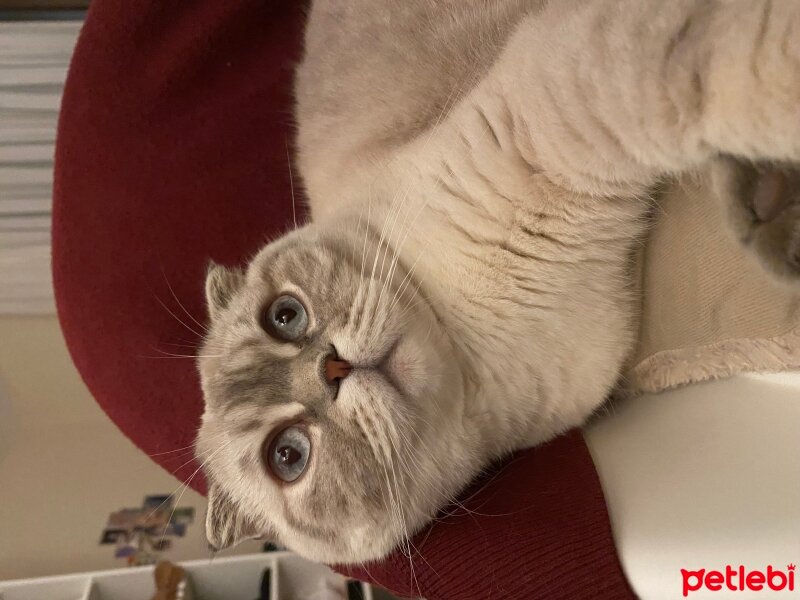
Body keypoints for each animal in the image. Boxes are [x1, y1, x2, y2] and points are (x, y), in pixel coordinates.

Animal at [194, 0, 800, 564]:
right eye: (288, 456)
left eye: (284, 315)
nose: (332, 368)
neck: (470, 343)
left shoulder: (575, 89)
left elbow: (746, 68)